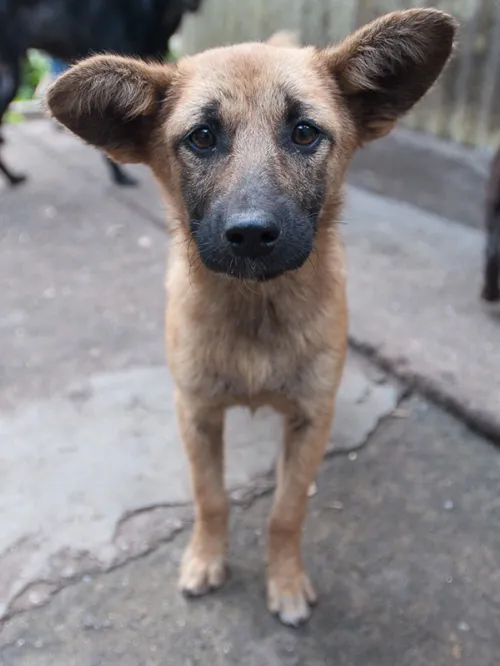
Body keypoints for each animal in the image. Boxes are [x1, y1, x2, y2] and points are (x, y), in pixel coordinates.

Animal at [46, 7, 458, 624]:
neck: (255, 313)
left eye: (304, 131)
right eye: (202, 137)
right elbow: (210, 497)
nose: (251, 235)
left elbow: (285, 512)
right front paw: (205, 558)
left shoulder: (311, 416)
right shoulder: (195, 412)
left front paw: (284, 581)